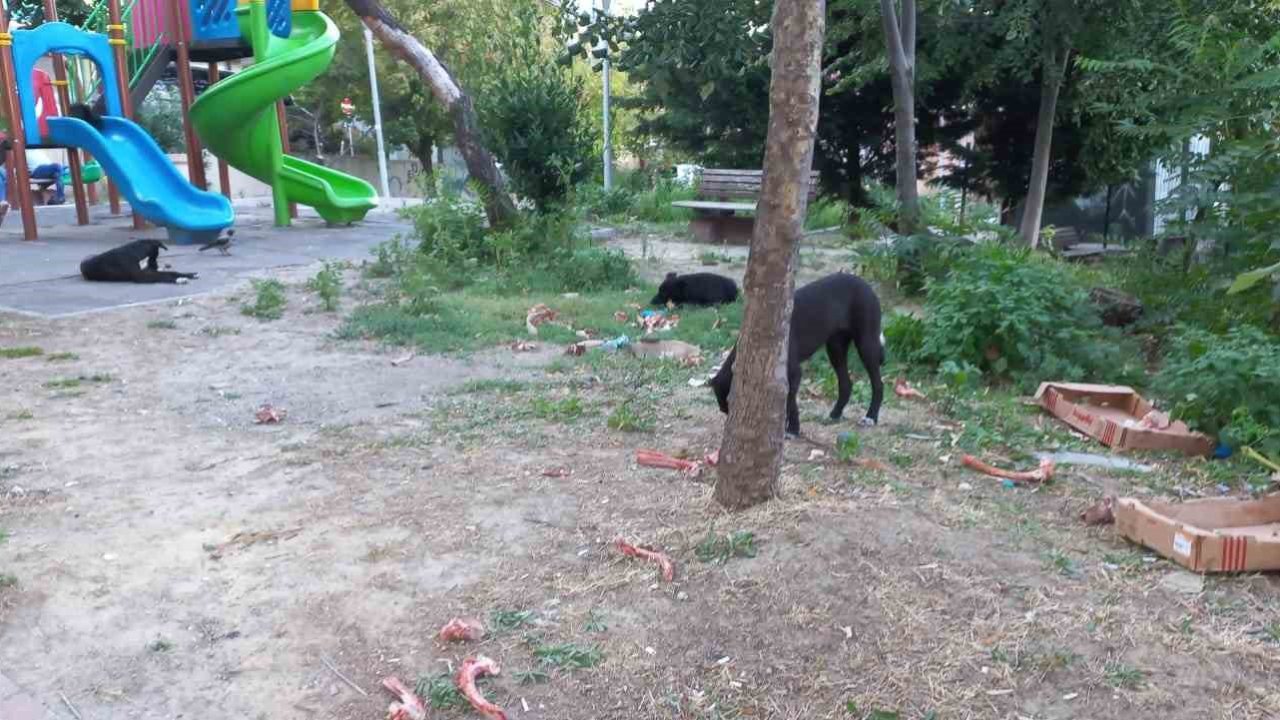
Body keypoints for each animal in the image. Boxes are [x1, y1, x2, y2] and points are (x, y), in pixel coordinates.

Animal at [706, 271, 885, 435]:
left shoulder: (794, 374)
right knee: (846, 383)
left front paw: (792, 429)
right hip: (836, 347)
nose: (729, 417)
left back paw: (871, 417)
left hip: (866, 343)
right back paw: (835, 414)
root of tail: (866, 285)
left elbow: (790, 402)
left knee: (878, 383)